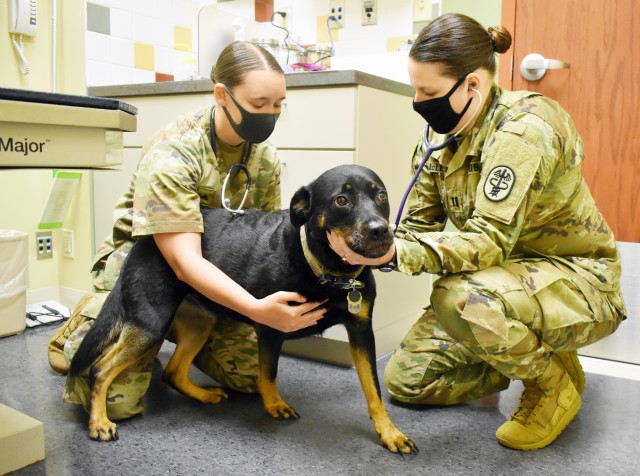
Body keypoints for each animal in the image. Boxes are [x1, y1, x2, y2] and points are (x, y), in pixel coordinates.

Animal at [70, 164, 418, 454]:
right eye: (341, 200)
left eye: (381, 195)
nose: (380, 229)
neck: (328, 271)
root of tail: (145, 240)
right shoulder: (272, 326)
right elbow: (268, 374)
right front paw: (274, 405)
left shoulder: (361, 331)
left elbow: (373, 391)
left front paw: (390, 433)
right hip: (150, 323)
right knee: (101, 368)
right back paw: (99, 422)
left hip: (200, 321)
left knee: (173, 372)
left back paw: (204, 395)